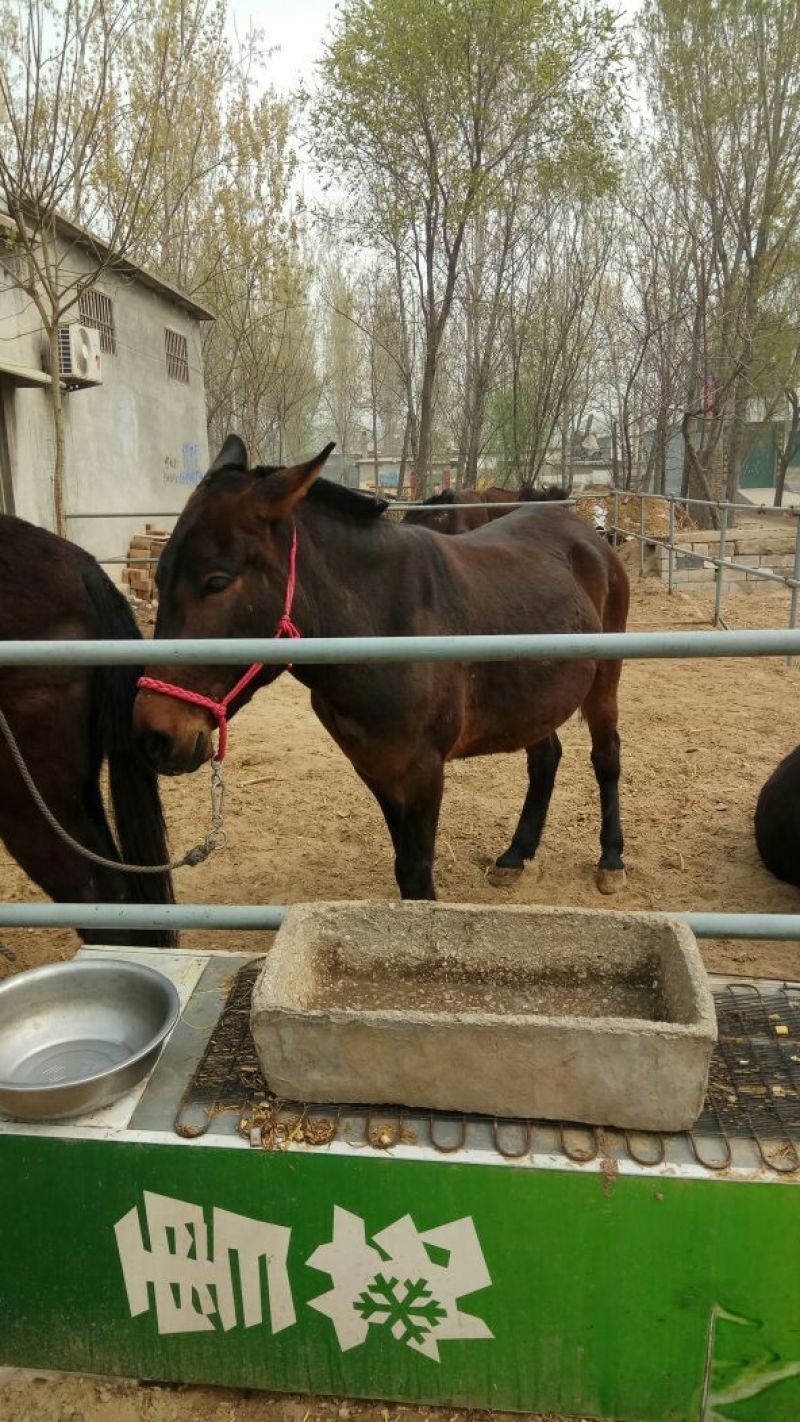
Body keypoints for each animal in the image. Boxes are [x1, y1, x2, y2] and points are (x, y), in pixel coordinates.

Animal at [133, 437, 630, 901]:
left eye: (216, 581)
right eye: (159, 578)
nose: (155, 735)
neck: (383, 626)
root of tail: (585, 531)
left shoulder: (424, 771)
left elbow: (417, 870)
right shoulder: (376, 767)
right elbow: (404, 868)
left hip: (604, 681)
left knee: (605, 757)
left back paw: (611, 860)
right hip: (534, 699)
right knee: (545, 759)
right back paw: (515, 855)